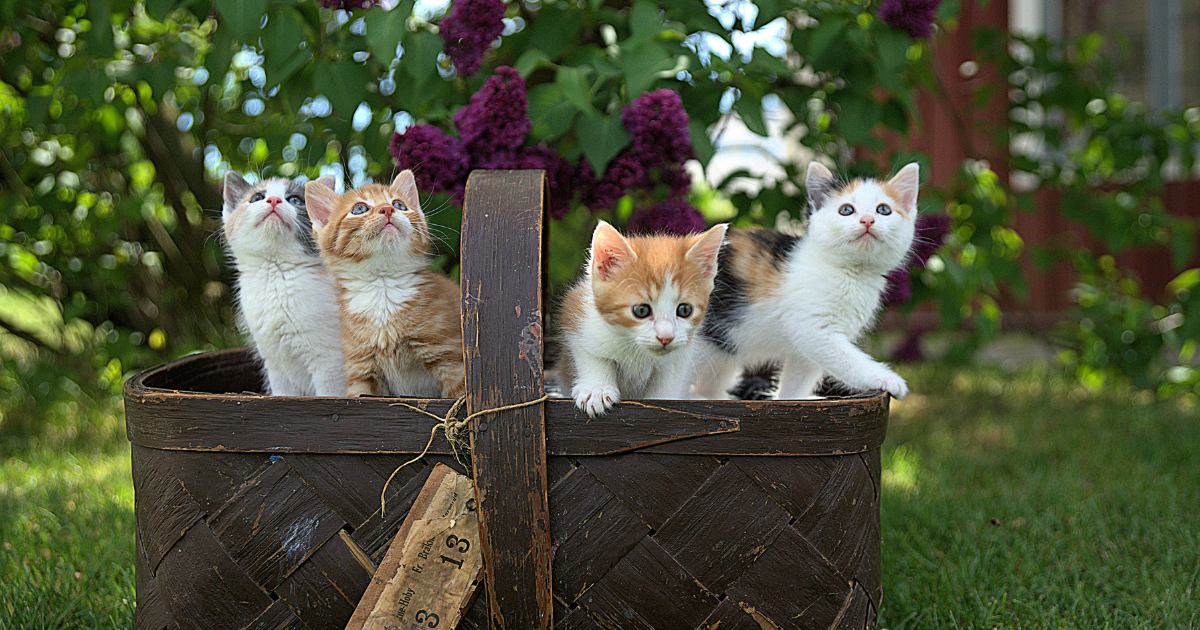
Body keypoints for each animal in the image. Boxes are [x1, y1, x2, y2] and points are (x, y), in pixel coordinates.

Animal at [220, 170, 348, 398]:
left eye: (295, 200)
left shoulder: (330, 361)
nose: (273, 200)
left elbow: (329, 394)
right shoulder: (275, 365)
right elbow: (282, 394)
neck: (276, 273)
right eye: (256, 198)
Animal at [304, 170, 463, 398]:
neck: (382, 286)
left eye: (399, 205)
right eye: (359, 209)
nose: (387, 209)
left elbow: (460, 397)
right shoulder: (361, 368)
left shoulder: (449, 356)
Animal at [554, 218, 729, 415]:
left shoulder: (682, 353)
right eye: (641, 311)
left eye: (685, 310)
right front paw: (597, 389)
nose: (666, 337)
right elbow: (591, 355)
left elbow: (670, 380)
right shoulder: (577, 312)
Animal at [696, 162, 916, 398]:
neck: (851, 272)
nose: (867, 220)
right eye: (846, 210)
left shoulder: (805, 349)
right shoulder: (813, 330)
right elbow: (849, 360)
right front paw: (886, 379)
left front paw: (789, 399)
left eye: (883, 210)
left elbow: (797, 380)